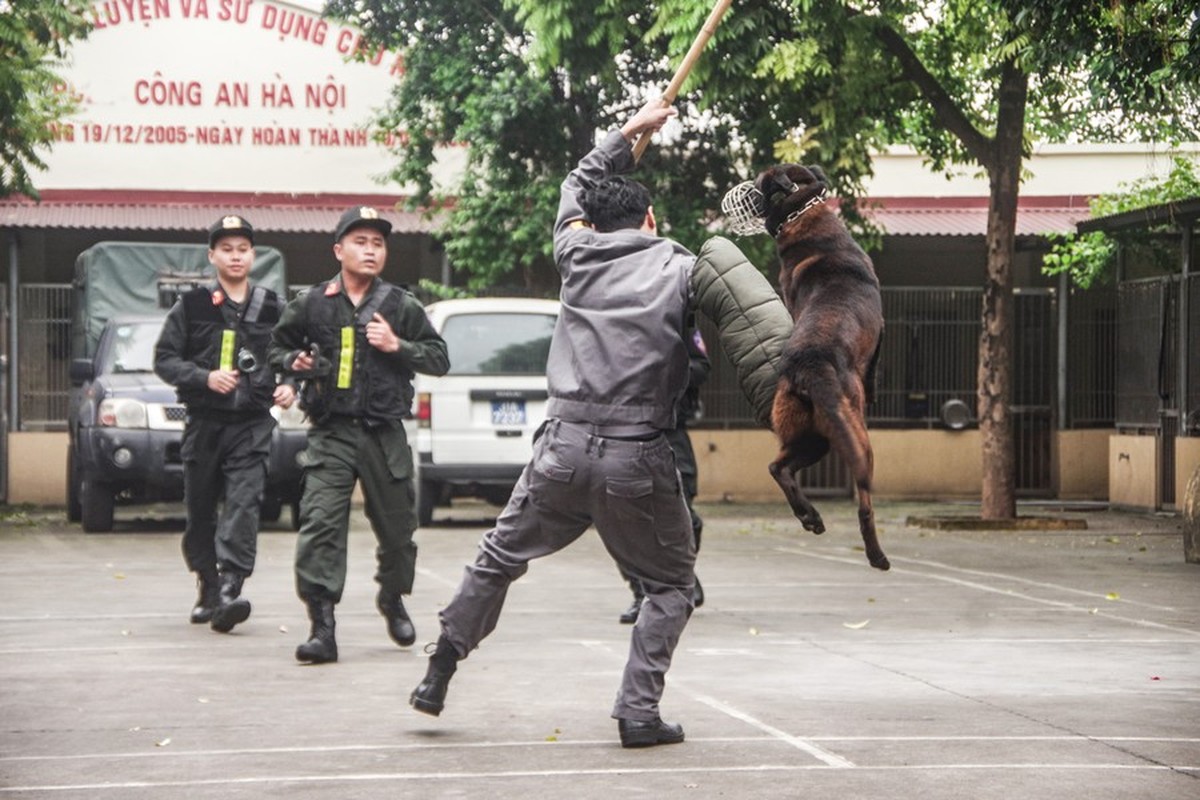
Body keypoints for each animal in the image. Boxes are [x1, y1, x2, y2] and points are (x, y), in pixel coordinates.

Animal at [724, 163, 888, 568]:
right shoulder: (881, 329)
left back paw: (808, 515)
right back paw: (876, 556)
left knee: (778, 467)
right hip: (853, 436)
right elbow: (875, 366)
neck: (800, 212)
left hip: (812, 436)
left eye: (756, 184)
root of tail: (810, 368)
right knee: (864, 503)